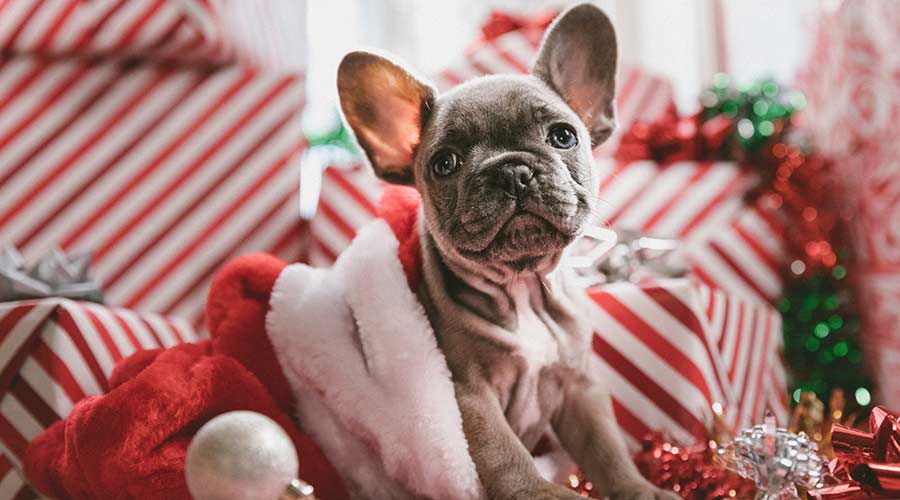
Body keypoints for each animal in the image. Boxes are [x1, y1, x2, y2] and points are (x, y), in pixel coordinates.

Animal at [342, 3, 680, 500]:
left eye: (563, 136)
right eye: (445, 163)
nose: (511, 171)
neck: (522, 286)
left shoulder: (579, 388)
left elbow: (608, 449)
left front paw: (640, 490)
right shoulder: (469, 396)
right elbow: (506, 456)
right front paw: (544, 494)